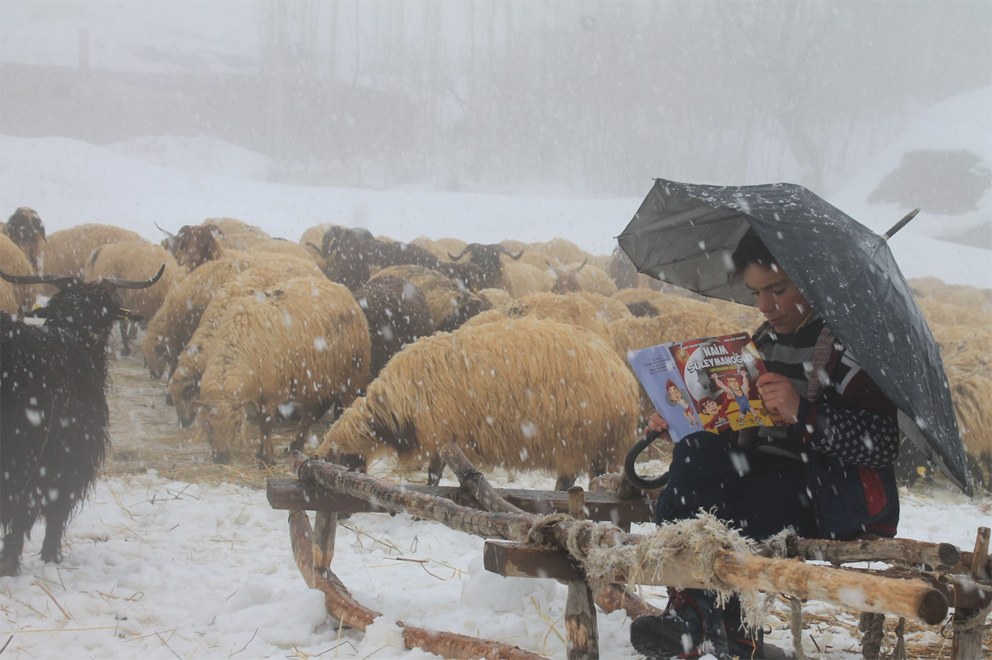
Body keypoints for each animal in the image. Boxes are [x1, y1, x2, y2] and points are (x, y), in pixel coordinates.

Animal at [193, 276, 368, 466]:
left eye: (235, 425)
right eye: (208, 425)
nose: (221, 457)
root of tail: (342, 289)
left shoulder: (269, 393)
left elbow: (266, 424)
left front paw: (267, 458)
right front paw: (262, 452)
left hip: (350, 375)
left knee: (345, 407)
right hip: (312, 379)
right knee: (311, 412)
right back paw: (294, 445)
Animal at [318, 318, 644, 488]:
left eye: (338, 463)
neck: (397, 405)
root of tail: (621, 373)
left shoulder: (440, 434)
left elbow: (434, 476)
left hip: (593, 442)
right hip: (579, 444)